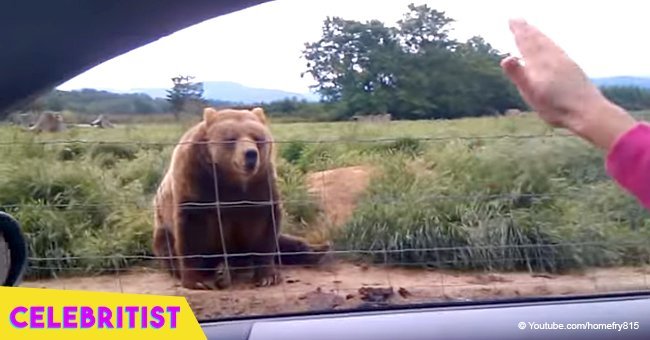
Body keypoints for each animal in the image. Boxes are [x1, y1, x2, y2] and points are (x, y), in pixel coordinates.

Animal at [152, 106, 330, 290]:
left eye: (258, 138)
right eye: (231, 138)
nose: (250, 154)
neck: (231, 179)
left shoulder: (259, 184)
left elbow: (264, 226)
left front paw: (267, 276)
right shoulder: (196, 180)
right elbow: (193, 230)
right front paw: (197, 280)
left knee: (284, 242)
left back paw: (319, 250)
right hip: (162, 228)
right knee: (167, 248)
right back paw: (221, 271)